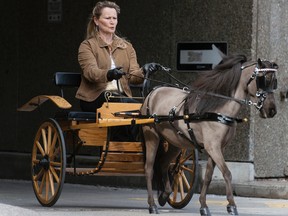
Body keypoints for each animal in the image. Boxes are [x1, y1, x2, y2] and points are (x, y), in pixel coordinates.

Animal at [141, 54, 278, 216]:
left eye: (275, 82)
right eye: (262, 79)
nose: (272, 110)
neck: (218, 109)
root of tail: (153, 91)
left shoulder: (217, 148)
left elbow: (207, 177)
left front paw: (203, 205)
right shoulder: (213, 147)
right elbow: (227, 173)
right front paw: (232, 205)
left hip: (176, 142)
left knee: (163, 163)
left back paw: (164, 195)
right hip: (152, 137)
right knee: (149, 169)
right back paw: (152, 204)